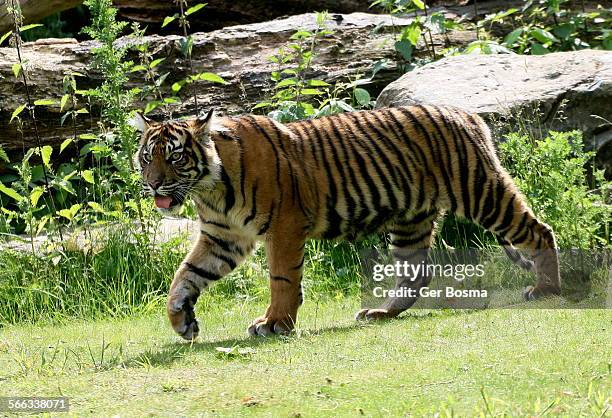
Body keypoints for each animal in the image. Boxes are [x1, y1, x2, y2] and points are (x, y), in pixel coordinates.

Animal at [131, 104, 560, 340]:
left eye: (174, 156)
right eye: (147, 156)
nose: (152, 184)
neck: (210, 187)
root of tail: (467, 113)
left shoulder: (284, 227)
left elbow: (282, 279)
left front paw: (275, 323)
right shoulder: (223, 238)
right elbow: (185, 276)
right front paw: (182, 321)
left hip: (481, 193)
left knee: (539, 231)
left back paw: (546, 289)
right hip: (411, 220)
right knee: (416, 272)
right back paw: (381, 313)